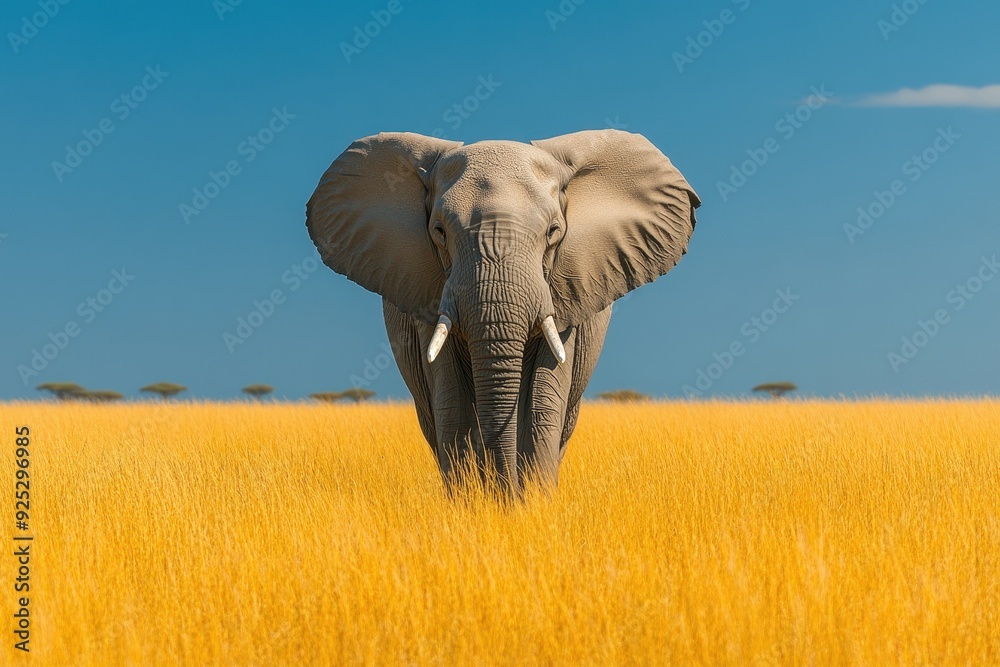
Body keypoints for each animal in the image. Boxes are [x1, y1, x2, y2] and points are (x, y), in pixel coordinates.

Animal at [306, 129, 700, 494]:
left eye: (553, 232)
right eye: (439, 232)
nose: (504, 493)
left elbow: (544, 397)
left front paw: (532, 507)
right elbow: (452, 398)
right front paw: (473, 506)